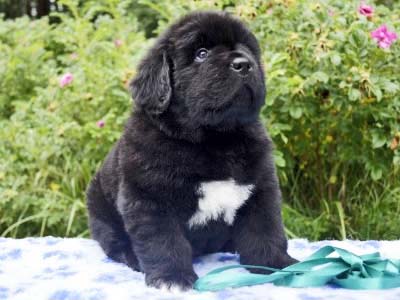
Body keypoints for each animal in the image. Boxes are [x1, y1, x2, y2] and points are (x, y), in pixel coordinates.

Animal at [86, 10, 296, 290]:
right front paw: (172, 277)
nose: (244, 64)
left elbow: (265, 230)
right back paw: (130, 256)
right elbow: (164, 242)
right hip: (100, 208)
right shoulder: (151, 198)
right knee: (114, 241)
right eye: (201, 53)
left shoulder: (260, 189)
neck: (214, 140)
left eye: (246, 48)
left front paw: (277, 265)